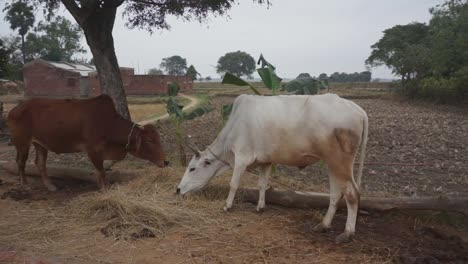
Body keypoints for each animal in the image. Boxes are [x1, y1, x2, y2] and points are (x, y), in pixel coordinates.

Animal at [7, 94, 168, 190]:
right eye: (150, 140)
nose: (166, 162)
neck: (108, 123)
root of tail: (14, 109)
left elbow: (99, 172)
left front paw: (101, 187)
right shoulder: (93, 150)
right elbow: (102, 172)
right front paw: (105, 189)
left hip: (40, 144)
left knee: (40, 163)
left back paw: (50, 186)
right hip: (22, 143)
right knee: (20, 162)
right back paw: (25, 184)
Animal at [177, 93, 368, 243]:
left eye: (192, 168)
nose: (178, 189)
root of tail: (358, 110)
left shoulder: (241, 158)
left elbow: (233, 184)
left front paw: (227, 206)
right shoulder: (266, 161)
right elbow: (262, 185)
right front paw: (260, 207)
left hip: (340, 163)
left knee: (352, 194)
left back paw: (347, 233)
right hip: (332, 164)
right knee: (336, 194)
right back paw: (323, 225)